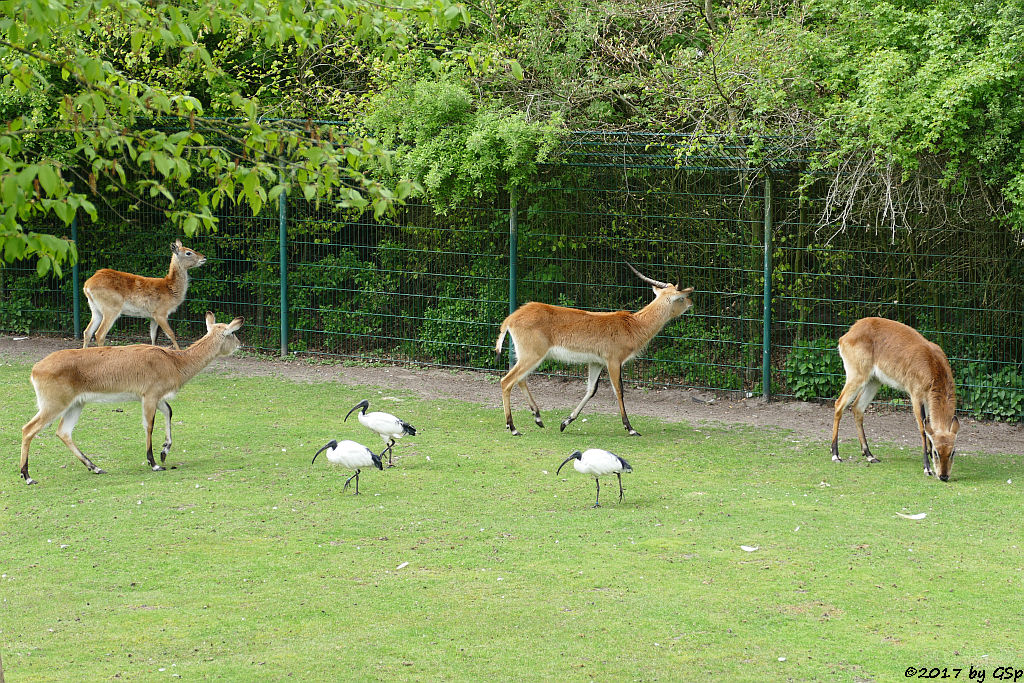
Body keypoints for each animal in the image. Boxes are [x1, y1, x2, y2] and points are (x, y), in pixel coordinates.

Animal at [20, 313, 244, 483]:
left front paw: (164, 452)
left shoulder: (155, 397)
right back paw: (27, 476)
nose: (240, 344)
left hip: (76, 404)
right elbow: (149, 425)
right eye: (232, 332)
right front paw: (154, 463)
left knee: (63, 432)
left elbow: (169, 411)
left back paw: (96, 467)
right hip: (53, 405)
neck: (174, 362)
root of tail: (35, 369)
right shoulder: (150, 395)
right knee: (28, 429)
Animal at [491, 262, 692, 438]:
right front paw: (631, 429)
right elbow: (619, 391)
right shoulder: (613, 361)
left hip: (527, 356)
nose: (691, 302)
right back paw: (513, 428)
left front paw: (565, 422)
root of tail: (511, 318)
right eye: (680, 297)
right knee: (506, 381)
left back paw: (538, 418)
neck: (633, 325)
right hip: (532, 356)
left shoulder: (596, 362)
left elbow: (591, 390)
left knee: (520, 380)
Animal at [831, 319, 958, 483]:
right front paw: (927, 468)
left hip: (874, 381)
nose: (943, 476)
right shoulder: (916, 396)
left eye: (953, 451)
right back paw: (836, 455)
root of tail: (849, 333)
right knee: (839, 404)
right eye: (937, 452)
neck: (933, 366)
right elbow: (923, 430)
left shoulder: (928, 400)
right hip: (857, 377)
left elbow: (929, 427)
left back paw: (870, 455)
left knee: (857, 407)